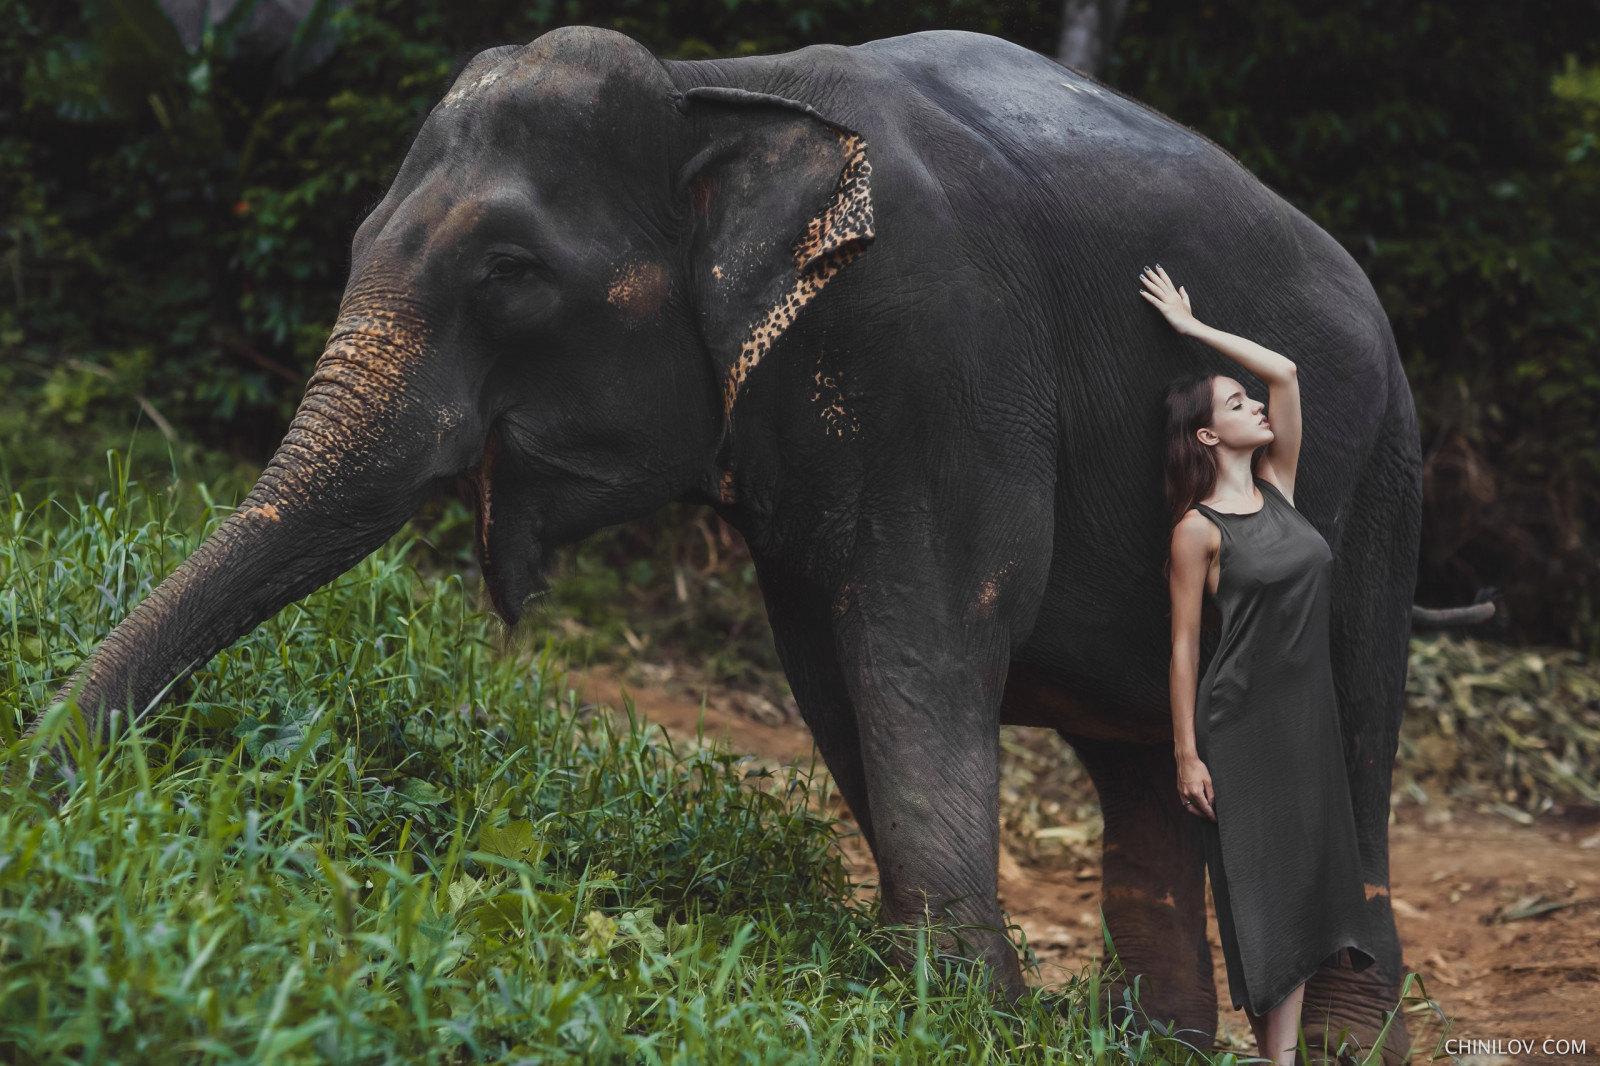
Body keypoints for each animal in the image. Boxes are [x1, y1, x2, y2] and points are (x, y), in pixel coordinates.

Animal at [25, 25, 1495, 1061]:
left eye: (509, 271)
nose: (47, 782)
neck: (722, 88)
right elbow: (829, 663)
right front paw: (951, 1001)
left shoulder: (941, 351)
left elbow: (920, 633)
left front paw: (962, 1017)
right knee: (1142, 767)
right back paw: (1154, 1043)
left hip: (1381, 479)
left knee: (1350, 716)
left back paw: (1336, 1040)